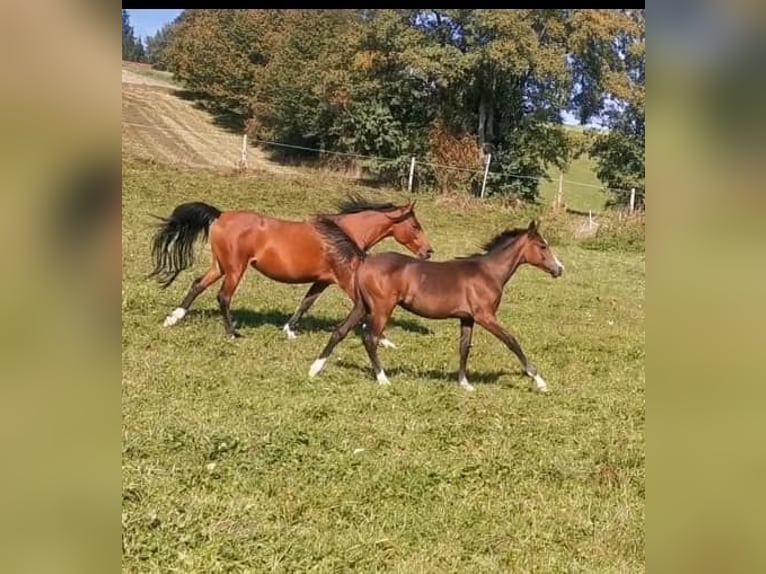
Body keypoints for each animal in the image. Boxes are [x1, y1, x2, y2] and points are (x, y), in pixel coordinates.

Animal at [150, 196, 436, 340]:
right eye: (415, 226)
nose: (429, 252)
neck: (342, 233)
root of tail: (220, 215)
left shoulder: (323, 279)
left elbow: (306, 302)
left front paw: (289, 330)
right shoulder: (345, 278)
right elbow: (364, 305)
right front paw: (381, 338)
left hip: (220, 265)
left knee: (197, 284)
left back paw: (173, 318)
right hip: (235, 268)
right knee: (223, 296)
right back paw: (232, 334)